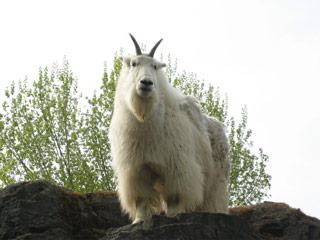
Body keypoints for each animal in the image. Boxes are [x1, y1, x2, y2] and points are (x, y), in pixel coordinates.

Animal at [110, 33, 230, 223]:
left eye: (155, 66)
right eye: (134, 63)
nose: (146, 83)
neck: (144, 120)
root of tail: (221, 129)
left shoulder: (177, 166)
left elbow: (175, 196)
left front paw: (174, 215)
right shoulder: (136, 169)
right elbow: (141, 199)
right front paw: (139, 220)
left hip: (217, 178)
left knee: (213, 199)